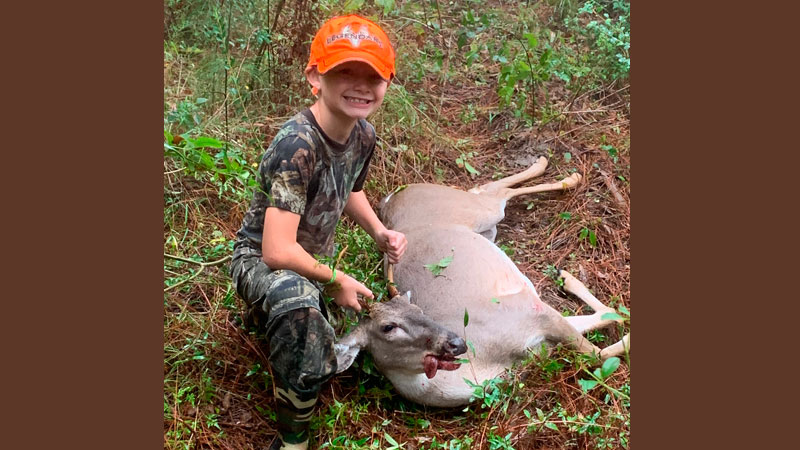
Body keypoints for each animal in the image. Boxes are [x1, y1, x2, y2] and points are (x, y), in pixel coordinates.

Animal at [333, 156, 630, 407]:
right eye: (388, 327)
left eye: (418, 309)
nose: (455, 343)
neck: (488, 363)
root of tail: (392, 196)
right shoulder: (537, 334)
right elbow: (602, 335)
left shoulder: (528, 311)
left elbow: (598, 350)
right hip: (487, 228)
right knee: (487, 190)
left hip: (477, 212)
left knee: (491, 191)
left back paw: (561, 171)